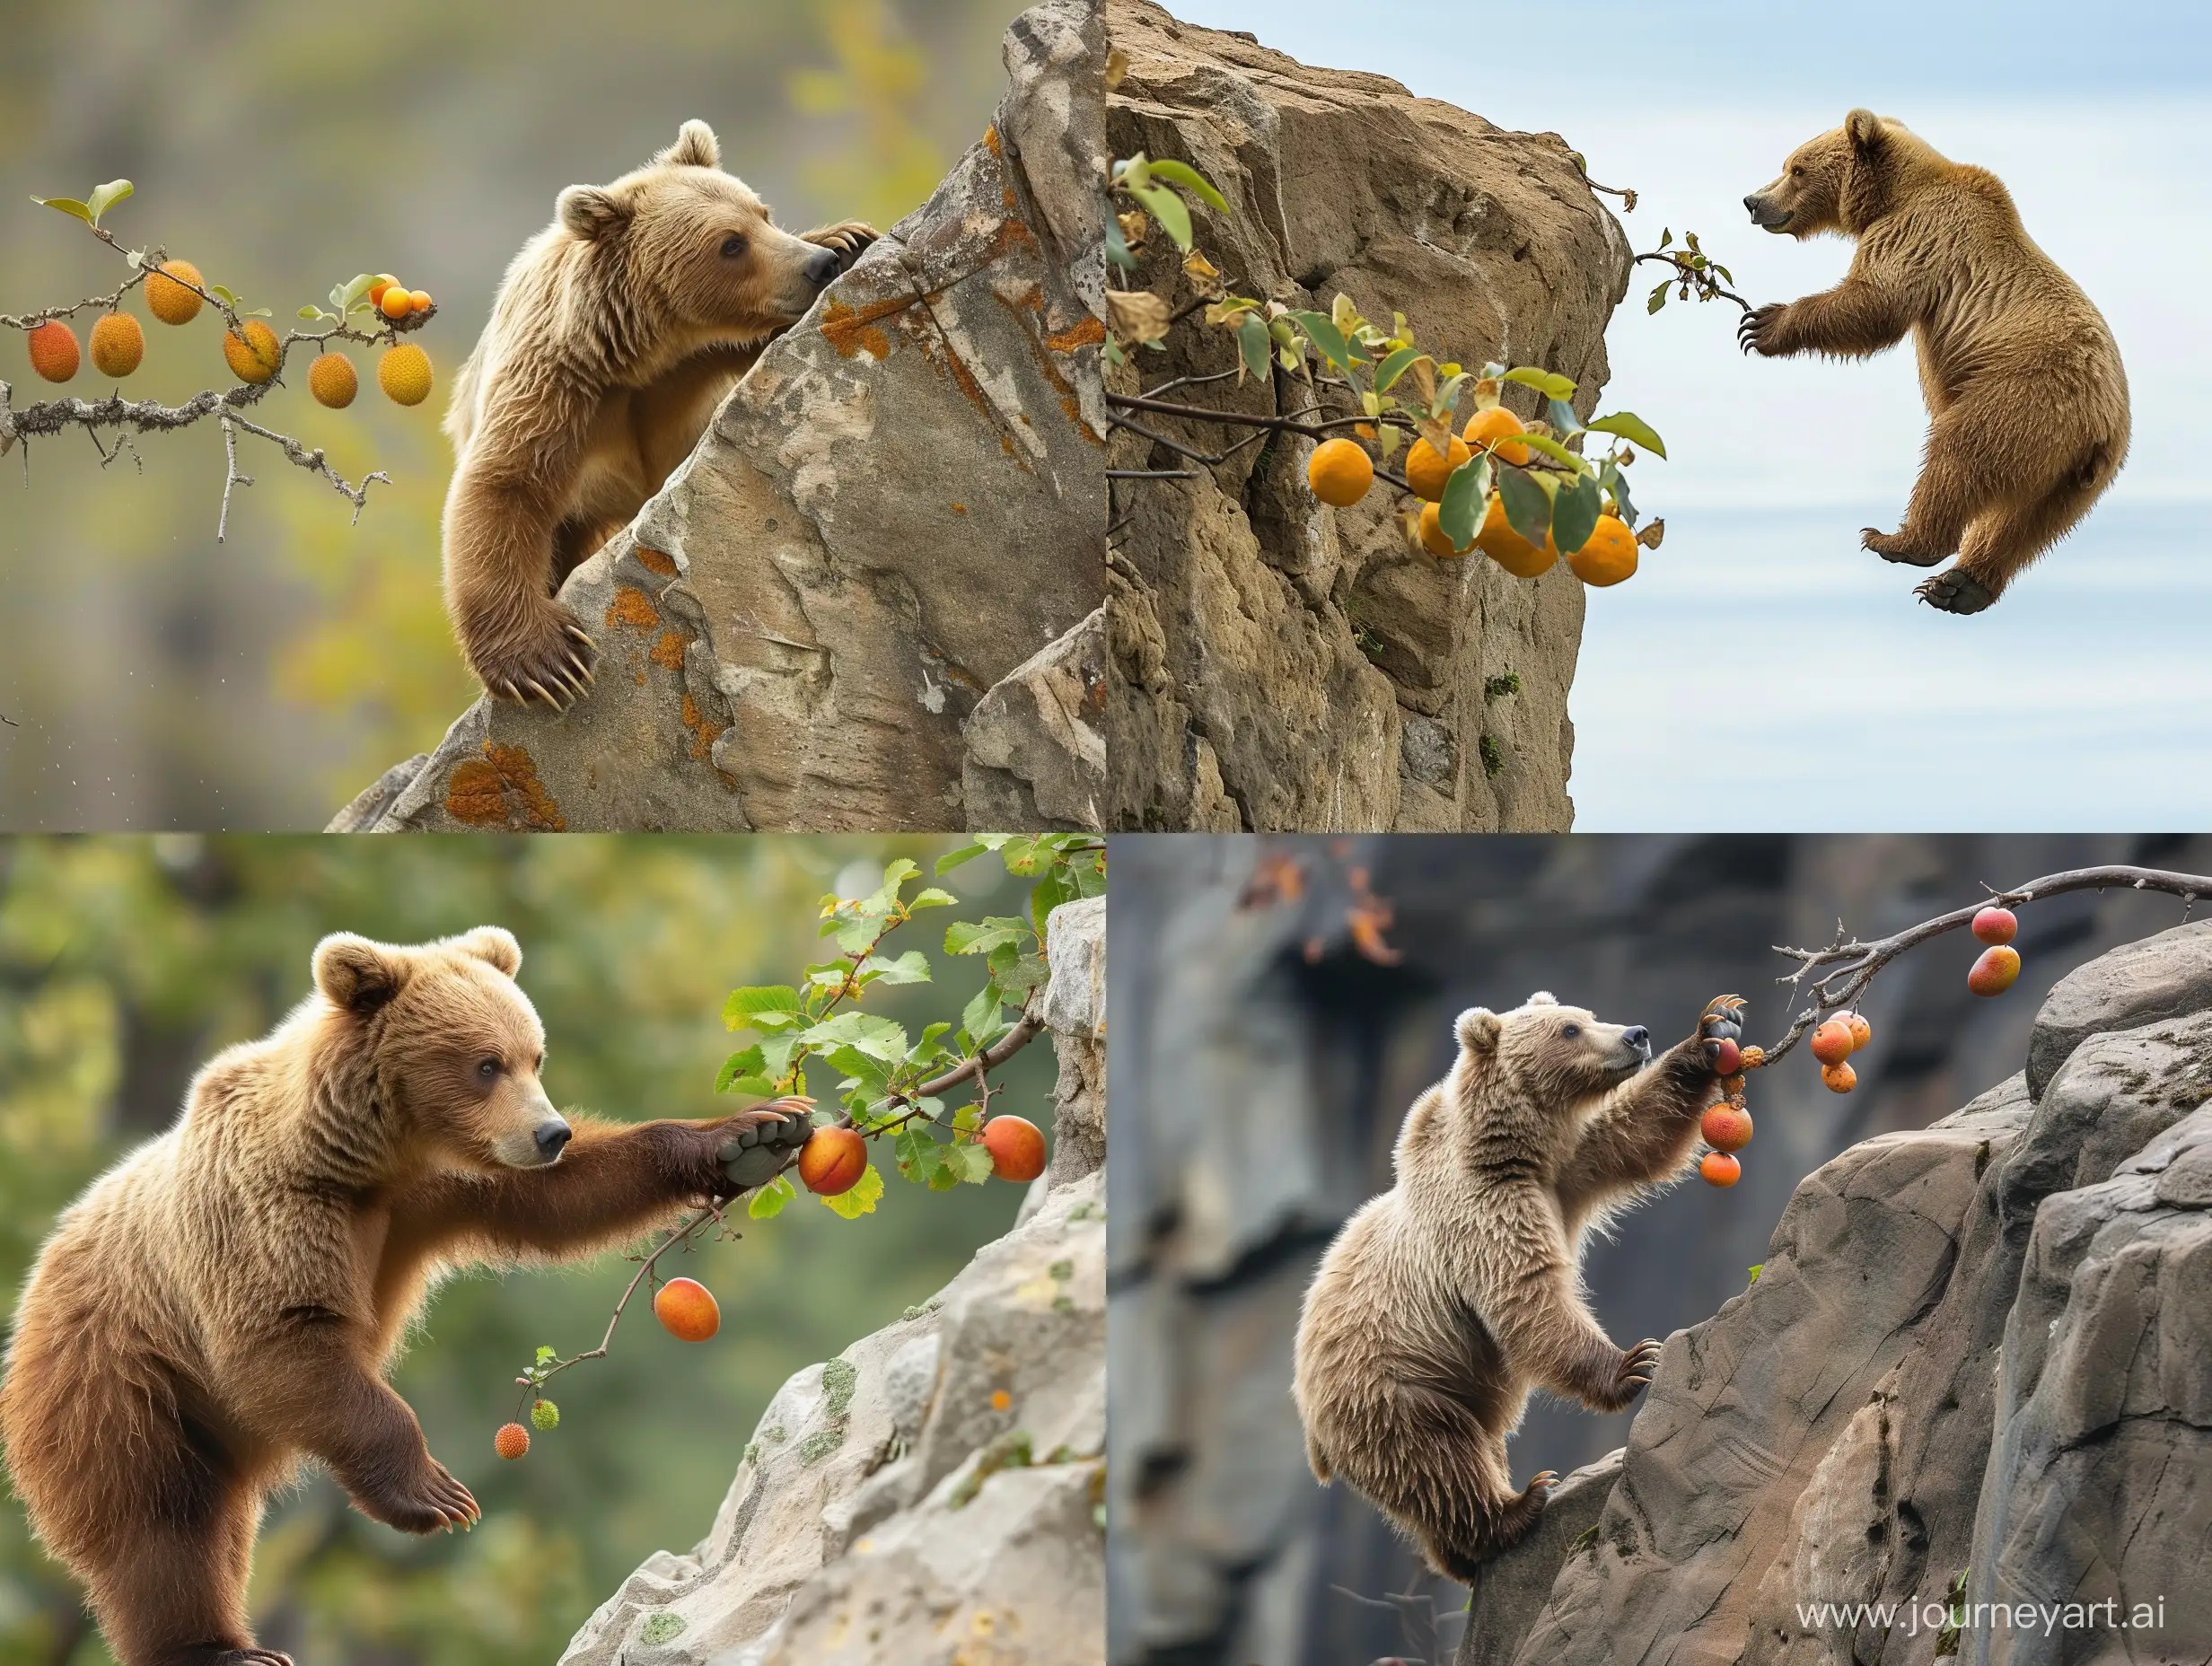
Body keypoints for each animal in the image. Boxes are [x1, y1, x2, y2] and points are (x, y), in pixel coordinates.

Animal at [0, 925, 813, 1663]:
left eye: (534, 1056)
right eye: (486, 1064)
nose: (548, 1131)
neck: (370, 1158)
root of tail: (37, 1277)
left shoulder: (442, 1185)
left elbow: (573, 1192)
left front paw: (754, 1134)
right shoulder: (269, 1214)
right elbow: (287, 1338)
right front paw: (437, 1495)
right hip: (122, 1382)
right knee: (160, 1520)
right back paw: (216, 1648)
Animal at [437, 121, 871, 707]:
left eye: (762, 211)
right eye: (730, 243)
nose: (816, 266)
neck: (646, 354)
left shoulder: (699, 365)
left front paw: (848, 238)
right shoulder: (557, 387)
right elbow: (503, 486)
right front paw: (548, 661)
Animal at [1291, 995, 1742, 1574]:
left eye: (1588, 1015)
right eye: (1569, 1029)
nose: (1635, 1035)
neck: (1514, 1150)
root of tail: (1310, 1425)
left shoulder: (1571, 1165)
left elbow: (1639, 1132)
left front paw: (1713, 1033)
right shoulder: (1484, 1216)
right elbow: (1528, 1299)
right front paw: (1635, 1362)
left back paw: (1459, 1557)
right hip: (1390, 1390)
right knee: (1440, 1458)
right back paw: (1518, 1505)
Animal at [1742, 112, 2123, 619]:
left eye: (1796, 169)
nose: (1752, 201)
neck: (1893, 194)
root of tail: (2101, 423)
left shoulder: (1920, 233)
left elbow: (1874, 303)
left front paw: (1764, 323)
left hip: (2020, 395)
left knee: (1957, 456)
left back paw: (1898, 542)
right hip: (2074, 477)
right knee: (2029, 522)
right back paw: (1960, 588)